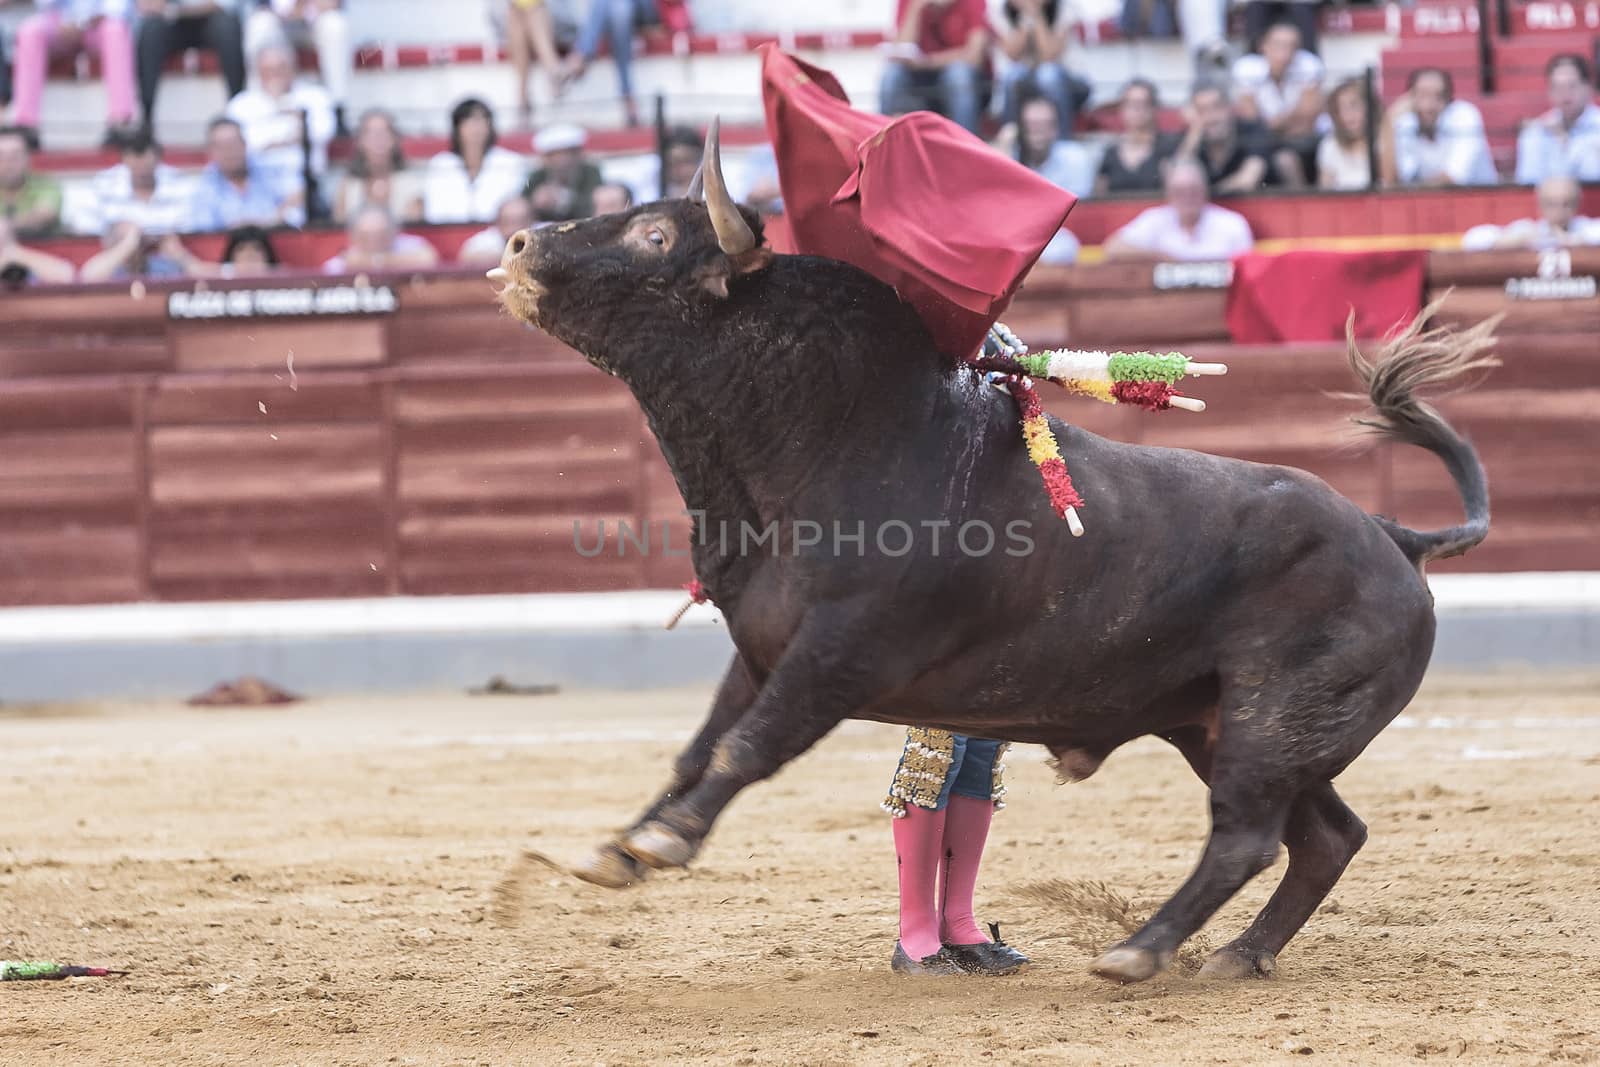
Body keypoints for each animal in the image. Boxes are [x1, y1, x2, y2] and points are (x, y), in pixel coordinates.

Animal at [489, 120, 1497, 979]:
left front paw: (664, 840)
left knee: (1249, 834)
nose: (519, 244)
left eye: (656, 233)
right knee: (1325, 835)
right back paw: (1235, 954)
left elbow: (745, 747)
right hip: (1228, 726)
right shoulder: (763, 648)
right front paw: (620, 847)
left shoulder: (841, 654)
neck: (839, 440)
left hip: (1268, 722)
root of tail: (1396, 538)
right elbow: (699, 748)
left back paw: (1140, 948)